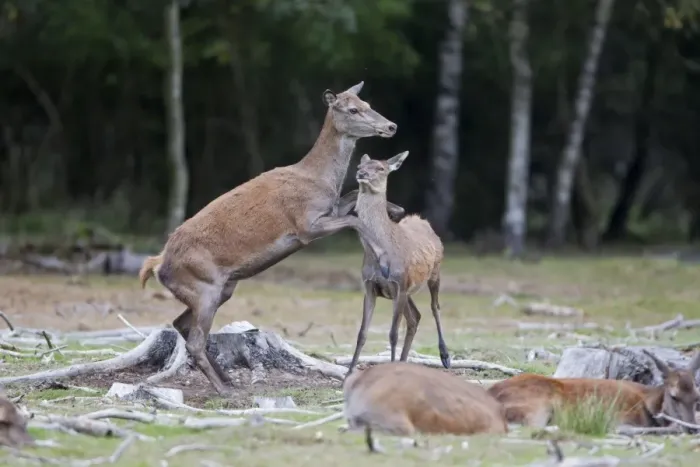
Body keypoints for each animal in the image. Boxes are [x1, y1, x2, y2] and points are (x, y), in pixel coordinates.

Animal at [138, 82, 406, 395]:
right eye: (352, 109)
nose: (391, 125)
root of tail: (158, 264)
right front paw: (382, 252)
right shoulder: (305, 225)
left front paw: (397, 211)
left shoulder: (328, 210)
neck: (318, 179)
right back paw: (225, 390)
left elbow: (352, 198)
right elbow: (355, 219)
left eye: (367, 103)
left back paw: (227, 379)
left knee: (180, 323)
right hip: (204, 287)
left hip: (219, 289)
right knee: (194, 340)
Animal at [344, 151, 450, 377]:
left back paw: (445, 355)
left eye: (381, 168)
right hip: (407, 290)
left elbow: (392, 334)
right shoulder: (370, 286)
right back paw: (404, 362)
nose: (361, 173)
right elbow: (362, 333)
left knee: (434, 307)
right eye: (360, 165)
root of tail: (424, 221)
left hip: (434, 272)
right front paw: (348, 373)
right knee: (415, 317)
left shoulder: (400, 284)